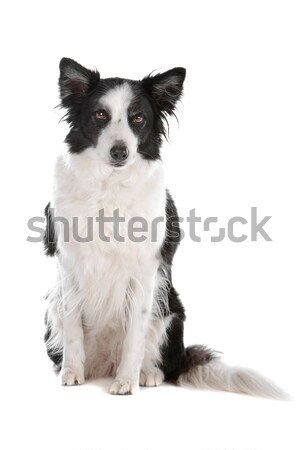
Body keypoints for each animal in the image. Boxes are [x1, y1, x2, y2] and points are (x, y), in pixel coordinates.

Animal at [44, 57, 286, 398]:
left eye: (138, 118)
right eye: (100, 115)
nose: (120, 152)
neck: (110, 185)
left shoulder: (145, 272)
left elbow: (135, 334)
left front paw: (126, 382)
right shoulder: (68, 266)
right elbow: (74, 329)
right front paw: (71, 373)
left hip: (171, 311)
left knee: (158, 357)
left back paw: (148, 374)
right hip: (53, 306)